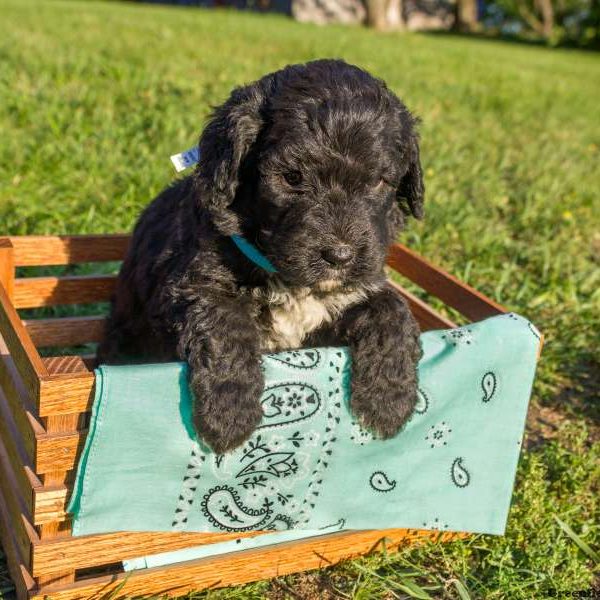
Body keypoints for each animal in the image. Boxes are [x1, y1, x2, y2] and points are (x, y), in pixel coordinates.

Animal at [98, 61, 424, 454]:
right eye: (292, 177)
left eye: (378, 182)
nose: (340, 255)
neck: (290, 280)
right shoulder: (194, 283)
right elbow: (225, 324)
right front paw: (229, 412)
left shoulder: (357, 289)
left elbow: (391, 307)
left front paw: (389, 400)